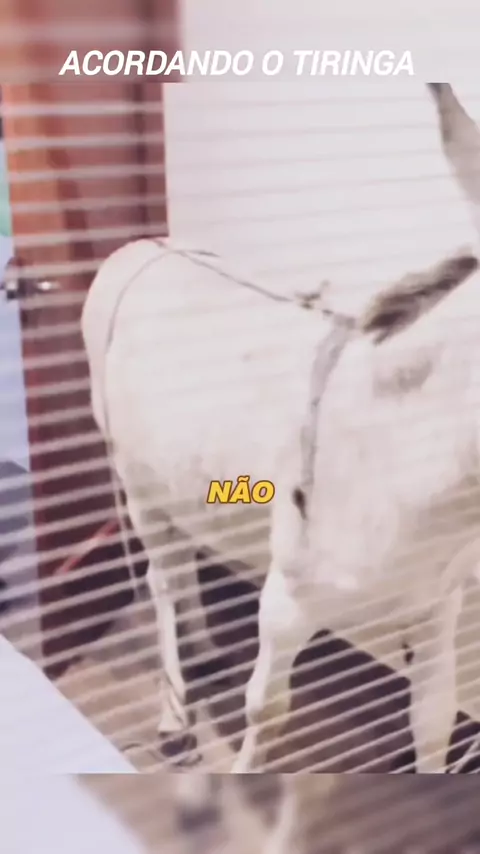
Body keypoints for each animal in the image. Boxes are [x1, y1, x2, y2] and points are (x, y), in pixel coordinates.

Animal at [82, 82, 480, 773]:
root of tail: (141, 249)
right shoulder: (288, 605)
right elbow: (267, 713)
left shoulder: (438, 605)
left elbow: (432, 722)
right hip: (138, 486)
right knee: (162, 579)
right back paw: (174, 717)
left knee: (185, 563)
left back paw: (205, 648)